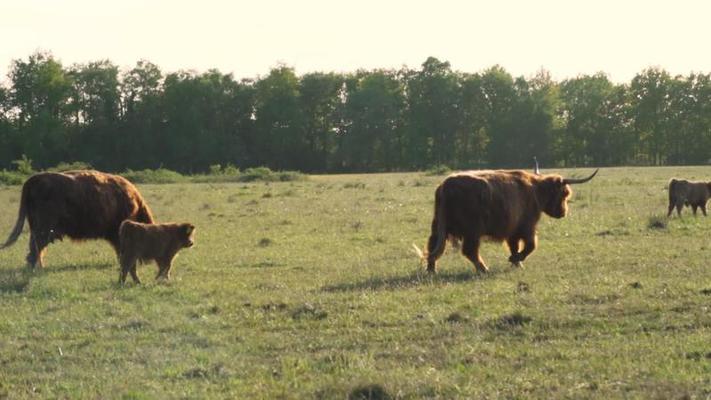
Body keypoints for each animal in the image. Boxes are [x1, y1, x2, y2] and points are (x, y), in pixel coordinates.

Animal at [0, 170, 154, 268]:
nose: (148, 262)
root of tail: (33, 180)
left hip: (36, 227)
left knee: (34, 248)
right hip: (43, 229)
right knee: (36, 248)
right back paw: (38, 268)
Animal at [426, 167, 596, 274]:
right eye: (564, 194)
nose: (563, 212)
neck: (536, 190)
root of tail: (446, 186)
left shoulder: (513, 230)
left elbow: (514, 246)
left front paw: (517, 263)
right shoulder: (527, 226)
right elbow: (531, 245)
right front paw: (516, 259)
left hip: (437, 227)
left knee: (432, 247)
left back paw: (431, 270)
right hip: (472, 231)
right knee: (470, 251)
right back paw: (483, 269)